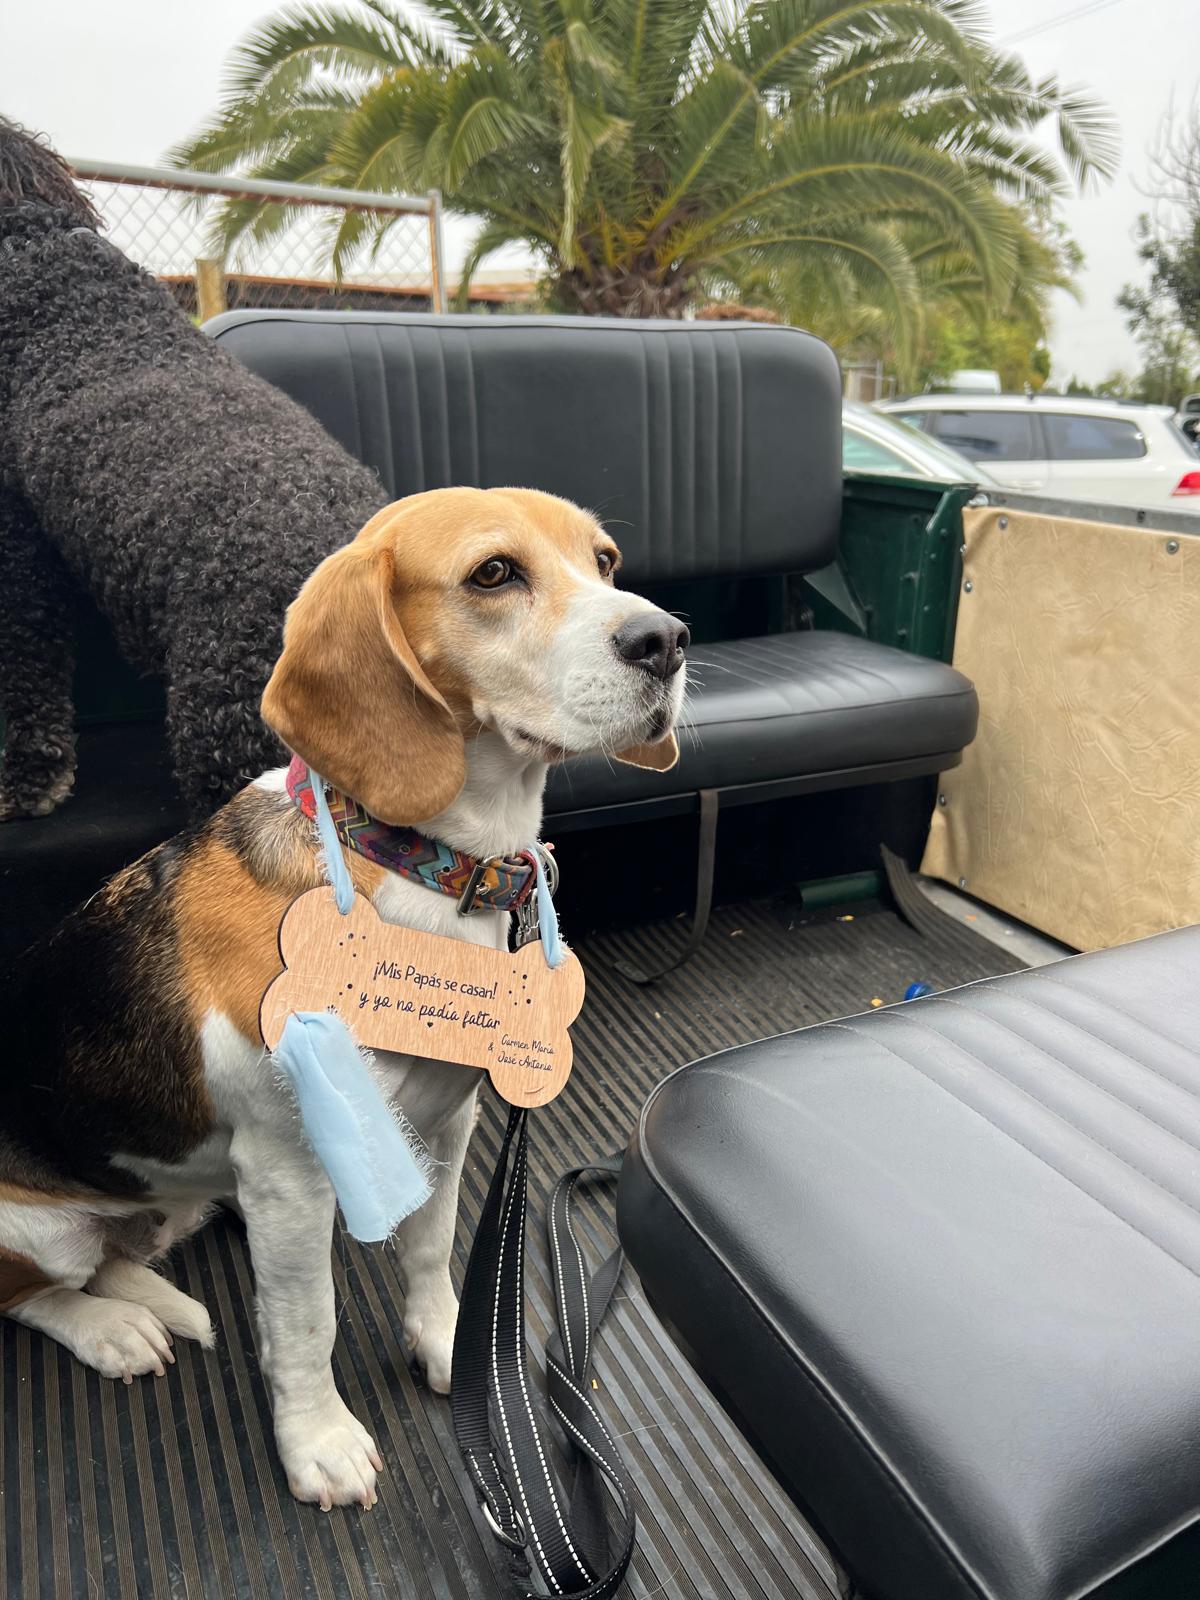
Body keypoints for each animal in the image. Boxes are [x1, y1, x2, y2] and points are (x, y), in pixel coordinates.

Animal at [0, 486, 684, 1510]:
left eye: (603, 561)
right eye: (494, 573)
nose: (669, 639)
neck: (417, 865)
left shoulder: (448, 1122)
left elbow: (433, 1251)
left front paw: (450, 1350)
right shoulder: (291, 1175)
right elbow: (304, 1323)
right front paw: (317, 1444)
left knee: (120, 1256)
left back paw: (145, 1305)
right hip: (34, 1227)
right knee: (39, 1291)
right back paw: (109, 1332)